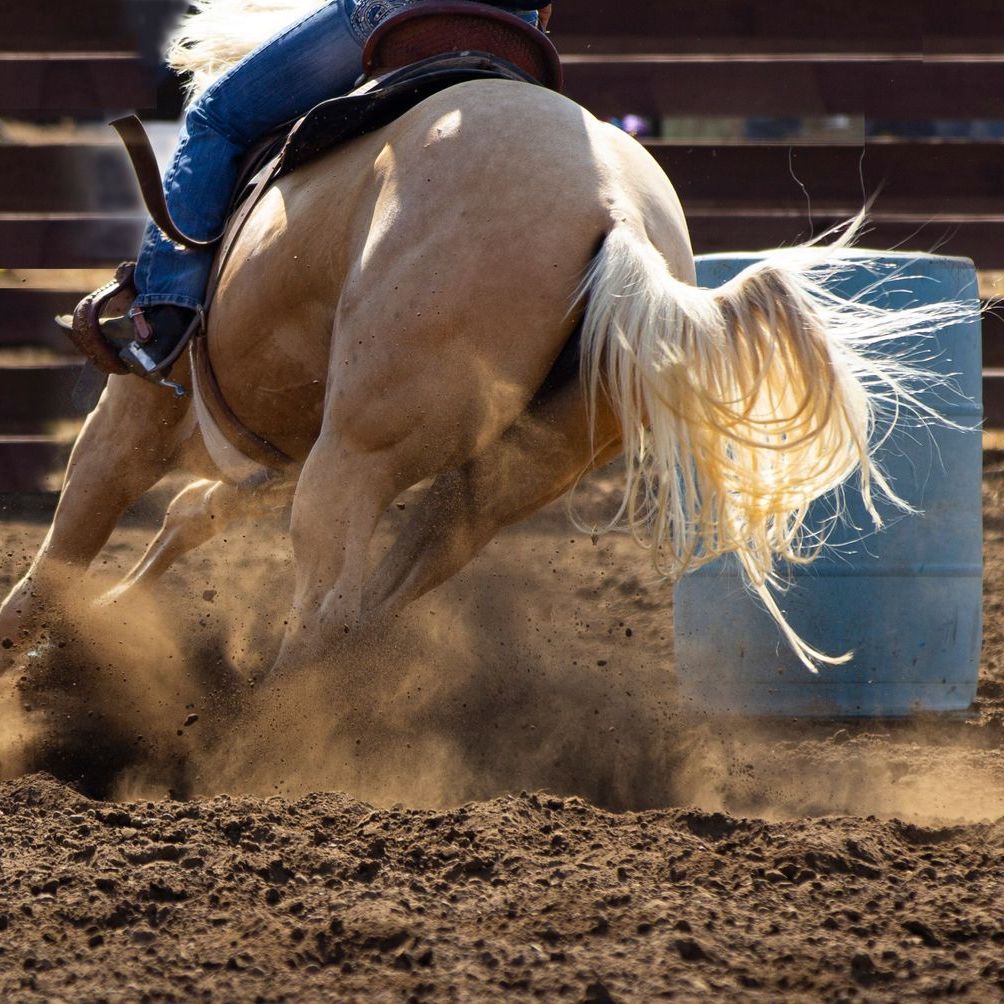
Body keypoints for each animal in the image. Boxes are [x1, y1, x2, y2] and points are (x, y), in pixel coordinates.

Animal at [0, 3, 959, 681]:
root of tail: (615, 216)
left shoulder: (142, 408)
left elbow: (68, 541)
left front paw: (35, 653)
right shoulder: (266, 460)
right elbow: (187, 516)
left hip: (357, 453)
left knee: (329, 609)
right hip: (499, 482)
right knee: (376, 605)